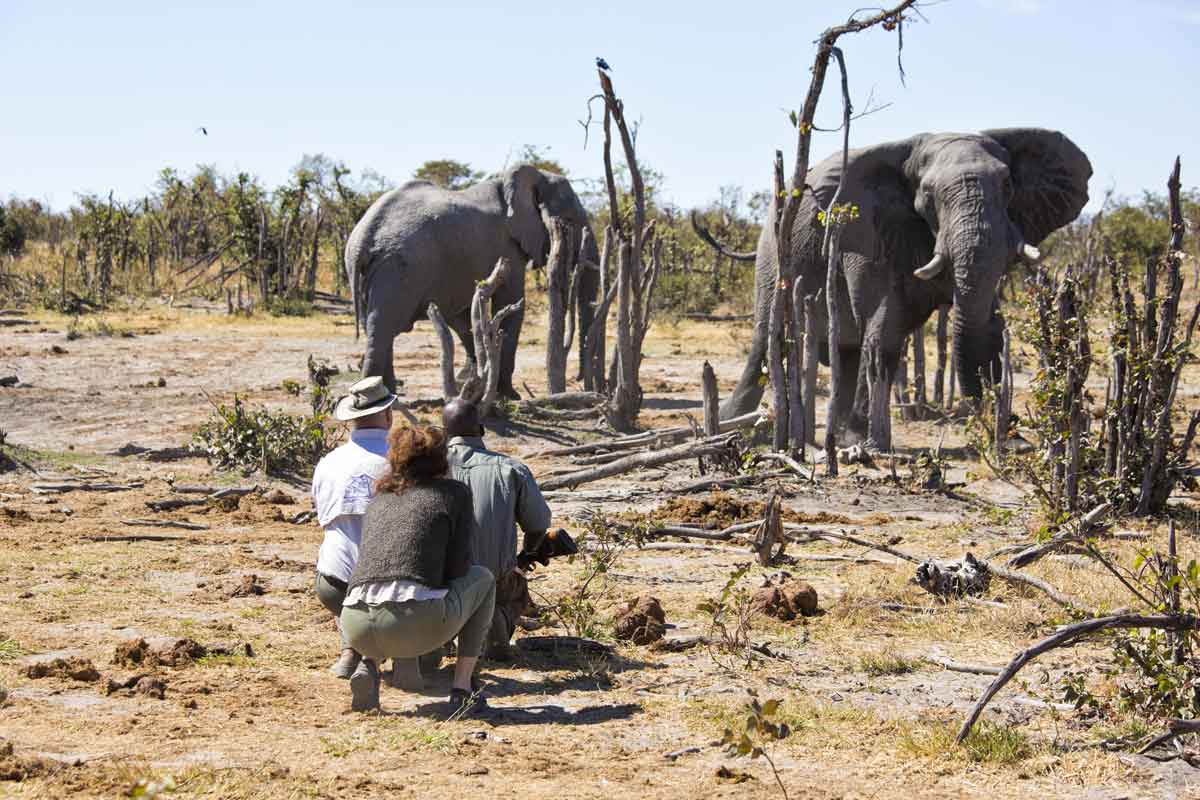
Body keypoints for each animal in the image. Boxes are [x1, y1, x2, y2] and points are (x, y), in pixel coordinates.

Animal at [345, 165, 592, 398]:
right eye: (571, 221)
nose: (579, 379)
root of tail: (364, 236)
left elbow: (461, 317)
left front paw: (472, 383)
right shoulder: (507, 249)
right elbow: (509, 304)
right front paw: (509, 395)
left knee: (378, 328)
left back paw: (388, 393)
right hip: (398, 270)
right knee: (383, 327)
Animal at [715, 128, 1094, 448]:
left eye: (1008, 185)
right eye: (927, 195)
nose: (995, 425)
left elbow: (987, 326)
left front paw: (1014, 444)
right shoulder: (865, 228)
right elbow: (883, 324)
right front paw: (863, 443)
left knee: (846, 352)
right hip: (772, 252)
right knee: (767, 340)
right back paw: (732, 425)